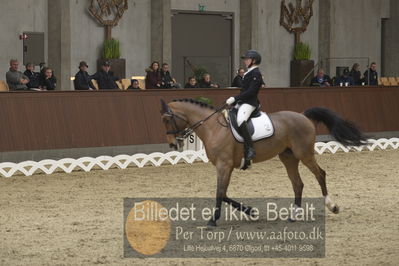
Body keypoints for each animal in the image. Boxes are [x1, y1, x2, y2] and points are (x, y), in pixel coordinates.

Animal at [160, 98, 368, 225]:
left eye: (167, 120)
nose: (172, 144)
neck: (213, 127)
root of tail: (303, 115)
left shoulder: (224, 165)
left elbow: (220, 193)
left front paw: (213, 219)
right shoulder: (225, 166)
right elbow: (224, 193)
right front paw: (251, 211)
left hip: (304, 154)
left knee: (320, 174)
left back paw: (331, 205)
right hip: (288, 157)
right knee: (298, 184)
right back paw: (294, 215)